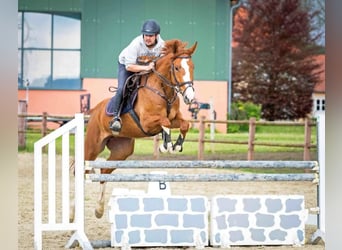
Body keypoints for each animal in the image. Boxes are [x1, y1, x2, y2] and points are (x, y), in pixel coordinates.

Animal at [74, 39, 199, 221]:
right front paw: (166, 145)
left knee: (104, 171)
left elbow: (184, 125)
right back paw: (72, 214)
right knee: (81, 169)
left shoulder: (176, 119)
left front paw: (176, 146)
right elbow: (165, 122)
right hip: (93, 146)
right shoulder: (147, 122)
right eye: (176, 68)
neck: (163, 90)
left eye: (192, 66)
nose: (190, 98)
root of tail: (94, 110)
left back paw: (99, 210)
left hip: (122, 150)